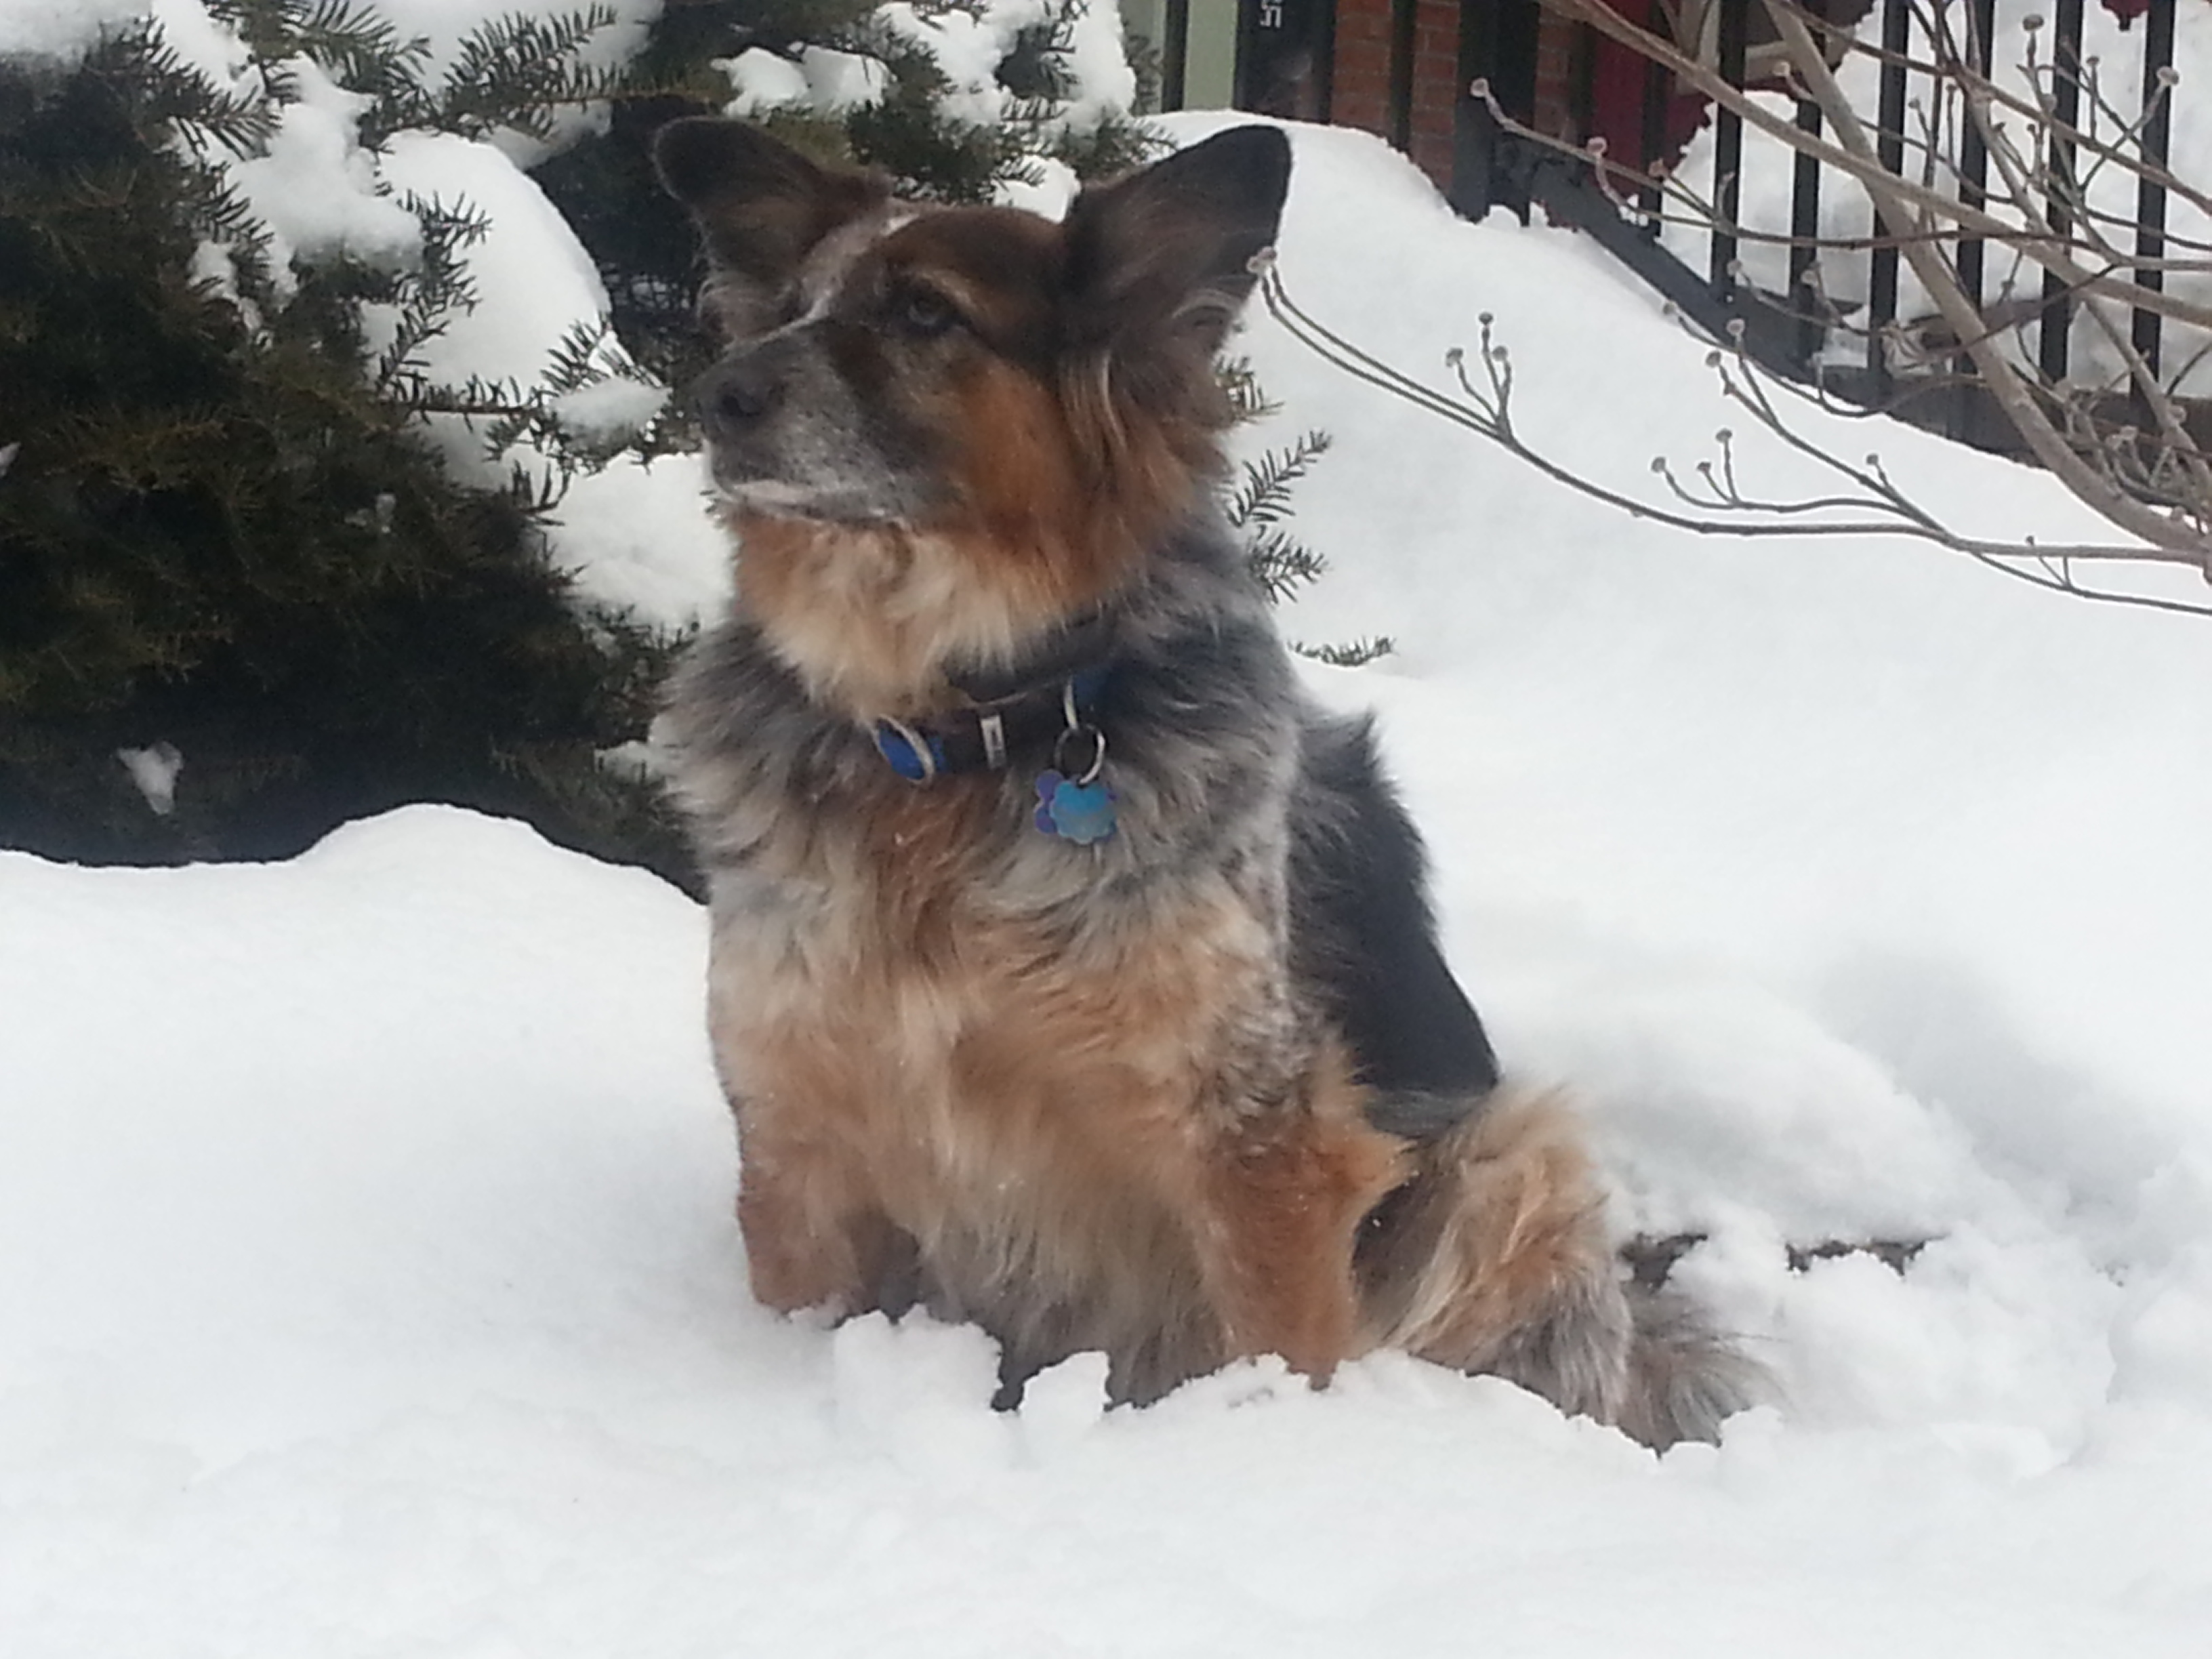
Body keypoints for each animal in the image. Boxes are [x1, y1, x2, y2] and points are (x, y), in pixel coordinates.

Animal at [646, 117, 1752, 1451]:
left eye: (924, 313)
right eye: (793, 305)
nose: (718, 394)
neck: (963, 733)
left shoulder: (1258, 1142)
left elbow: (1278, 1346)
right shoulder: (796, 1123)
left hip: (1504, 1154)